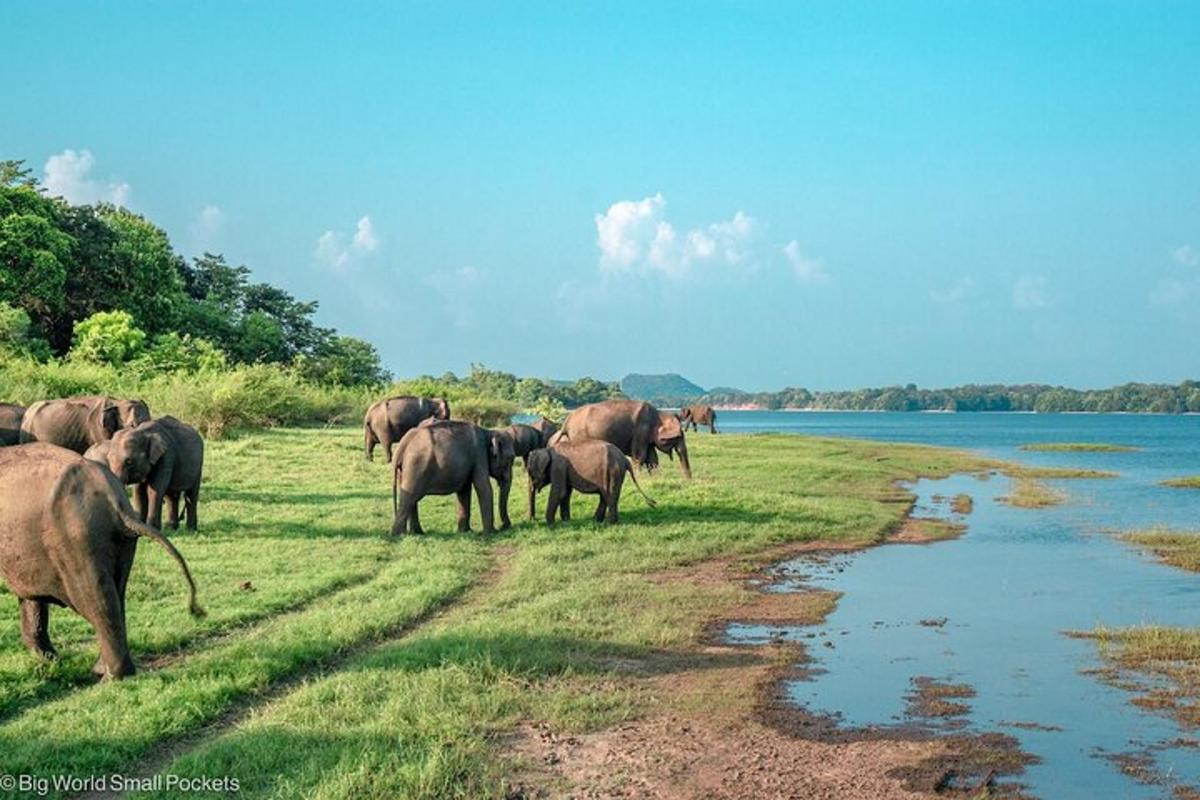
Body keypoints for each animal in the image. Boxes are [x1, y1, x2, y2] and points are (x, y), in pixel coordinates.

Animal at [0, 441, 204, 681]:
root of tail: (116, 502)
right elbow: (31, 595)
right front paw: (50, 661)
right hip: (118, 542)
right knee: (116, 593)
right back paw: (103, 670)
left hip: (77, 540)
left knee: (96, 599)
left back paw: (111, 677)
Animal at [525, 438, 657, 525]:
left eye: (530, 473)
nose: (533, 520)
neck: (547, 450)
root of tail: (625, 460)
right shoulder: (563, 469)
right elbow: (566, 493)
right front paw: (566, 521)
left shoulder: (558, 466)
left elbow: (560, 492)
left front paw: (550, 523)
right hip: (616, 474)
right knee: (607, 495)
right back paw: (598, 521)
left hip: (612, 471)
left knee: (609, 495)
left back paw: (609, 523)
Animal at [549, 398, 691, 479]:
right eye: (680, 436)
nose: (689, 481)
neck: (658, 414)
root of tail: (567, 420)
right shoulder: (641, 430)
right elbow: (639, 456)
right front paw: (641, 477)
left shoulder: (646, 436)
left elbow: (652, 458)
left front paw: (654, 477)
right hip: (580, 435)